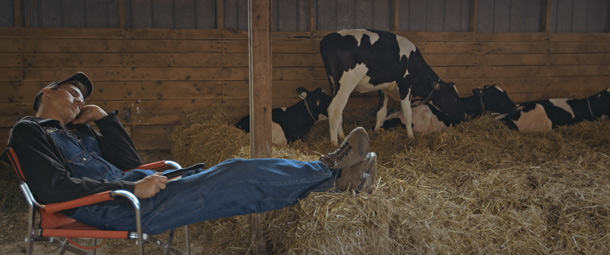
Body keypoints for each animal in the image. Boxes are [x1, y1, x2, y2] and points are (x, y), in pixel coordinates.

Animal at [316, 28, 464, 144]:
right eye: (453, 99)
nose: (463, 116)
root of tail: (327, 40)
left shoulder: (383, 88)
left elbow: (381, 112)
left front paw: (376, 131)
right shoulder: (405, 86)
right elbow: (408, 113)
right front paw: (411, 137)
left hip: (334, 84)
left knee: (339, 110)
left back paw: (341, 136)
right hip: (346, 83)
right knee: (334, 109)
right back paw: (334, 142)